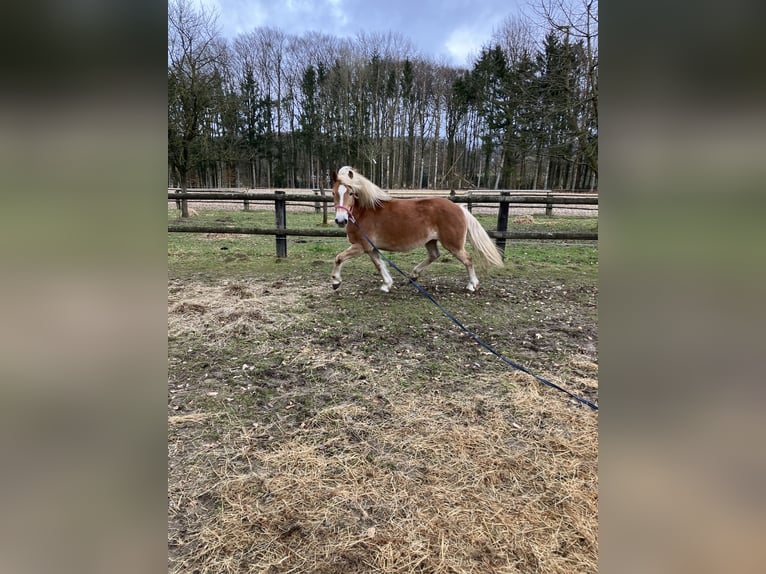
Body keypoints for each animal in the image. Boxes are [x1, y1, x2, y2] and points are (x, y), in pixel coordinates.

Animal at [328, 165, 504, 292]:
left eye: (351, 193)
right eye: (334, 193)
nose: (340, 220)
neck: (365, 212)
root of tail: (459, 207)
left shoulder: (361, 245)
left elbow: (339, 258)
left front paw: (336, 282)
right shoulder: (371, 248)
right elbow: (379, 265)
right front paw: (387, 284)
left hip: (453, 244)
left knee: (468, 259)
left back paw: (472, 285)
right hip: (431, 241)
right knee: (434, 255)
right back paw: (413, 275)